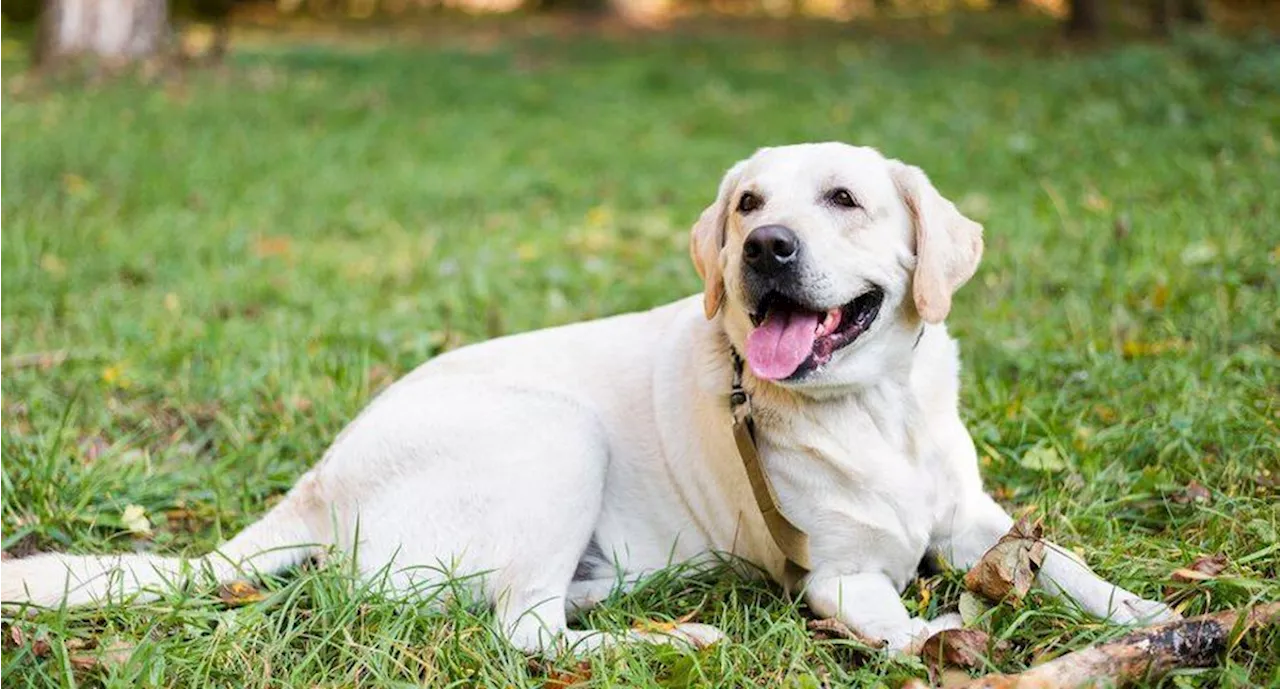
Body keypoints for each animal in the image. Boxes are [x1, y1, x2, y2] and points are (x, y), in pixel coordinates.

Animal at [2, 140, 1177, 648]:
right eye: (747, 201)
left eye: (843, 198)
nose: (763, 247)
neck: (871, 409)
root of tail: (315, 486)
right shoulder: (838, 574)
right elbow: (898, 622)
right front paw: (945, 640)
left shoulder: (974, 516)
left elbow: (1064, 562)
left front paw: (1152, 613)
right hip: (553, 434)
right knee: (522, 632)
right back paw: (665, 639)